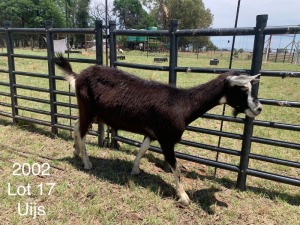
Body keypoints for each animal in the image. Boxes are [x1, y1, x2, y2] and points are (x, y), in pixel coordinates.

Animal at [55, 55, 262, 207]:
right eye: (242, 88)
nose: (258, 108)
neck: (182, 104)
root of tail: (78, 76)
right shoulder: (166, 138)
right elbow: (175, 166)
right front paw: (184, 197)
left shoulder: (153, 133)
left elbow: (143, 149)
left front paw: (135, 169)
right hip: (87, 107)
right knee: (82, 132)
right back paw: (87, 162)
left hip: (92, 112)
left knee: (76, 126)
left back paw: (76, 151)